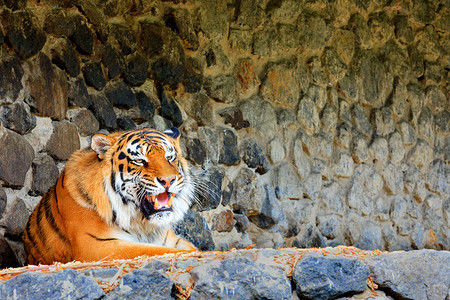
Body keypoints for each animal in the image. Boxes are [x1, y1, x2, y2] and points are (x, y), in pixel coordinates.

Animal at [22, 127, 198, 264]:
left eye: (169, 157)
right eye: (139, 160)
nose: (168, 180)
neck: (142, 224)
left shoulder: (170, 239)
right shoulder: (99, 245)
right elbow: (158, 251)